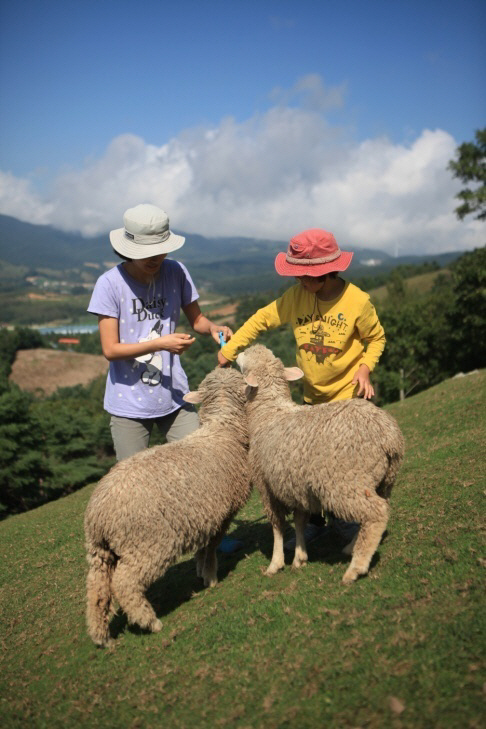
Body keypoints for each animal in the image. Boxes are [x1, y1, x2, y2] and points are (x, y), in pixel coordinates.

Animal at [84, 366, 251, 644]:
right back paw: (149, 622)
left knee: (96, 589)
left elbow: (203, 547)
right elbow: (211, 547)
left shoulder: (204, 515)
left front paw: (200, 569)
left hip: (100, 552)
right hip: (148, 542)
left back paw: (101, 636)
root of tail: (99, 514)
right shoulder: (222, 513)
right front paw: (210, 577)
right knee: (124, 583)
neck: (222, 429)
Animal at [237, 344, 404, 584]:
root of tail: (387, 434)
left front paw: (275, 563)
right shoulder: (294, 486)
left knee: (376, 513)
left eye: (245, 360)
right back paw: (352, 546)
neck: (269, 412)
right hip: (384, 480)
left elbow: (277, 526)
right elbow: (299, 521)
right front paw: (299, 557)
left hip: (345, 482)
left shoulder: (267, 487)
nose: (238, 351)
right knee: (379, 509)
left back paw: (355, 568)